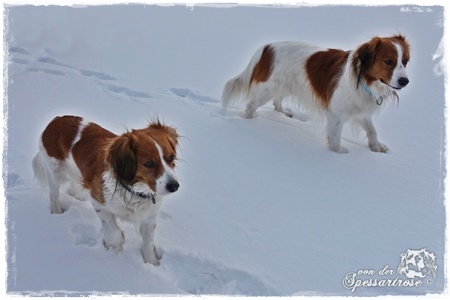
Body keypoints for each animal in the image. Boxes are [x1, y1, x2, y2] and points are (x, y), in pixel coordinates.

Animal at [32, 115, 180, 264]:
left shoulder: (149, 217)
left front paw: (151, 263)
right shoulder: (98, 203)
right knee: (54, 195)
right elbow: (113, 230)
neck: (134, 190)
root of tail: (56, 120)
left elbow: (148, 243)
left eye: (171, 157)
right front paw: (115, 246)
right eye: (149, 164)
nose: (174, 186)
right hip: (54, 172)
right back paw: (57, 213)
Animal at [222, 34, 412, 154]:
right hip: (268, 89)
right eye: (388, 62)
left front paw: (376, 147)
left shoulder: (360, 108)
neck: (365, 79)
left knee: (277, 101)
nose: (405, 81)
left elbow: (372, 130)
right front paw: (338, 155)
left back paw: (284, 112)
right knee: (251, 106)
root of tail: (266, 47)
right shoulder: (336, 114)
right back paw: (248, 122)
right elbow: (334, 140)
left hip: (285, 86)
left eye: (405, 61)